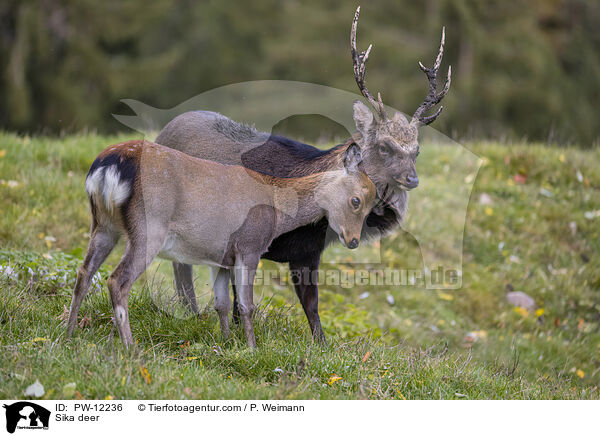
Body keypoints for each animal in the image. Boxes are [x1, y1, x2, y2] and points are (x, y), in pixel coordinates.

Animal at [67, 140, 376, 348]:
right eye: (357, 200)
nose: (353, 240)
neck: (277, 210)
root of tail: (107, 166)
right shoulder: (250, 246)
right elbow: (247, 305)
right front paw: (252, 348)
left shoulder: (221, 258)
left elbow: (222, 304)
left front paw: (227, 344)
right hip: (149, 227)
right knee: (117, 280)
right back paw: (131, 347)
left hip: (103, 226)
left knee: (84, 273)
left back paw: (68, 333)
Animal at [155, 5, 450, 342]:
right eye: (385, 147)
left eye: (417, 150)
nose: (412, 179)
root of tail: (165, 128)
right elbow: (278, 299)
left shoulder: (308, 251)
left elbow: (310, 304)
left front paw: (320, 343)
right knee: (181, 267)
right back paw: (189, 311)